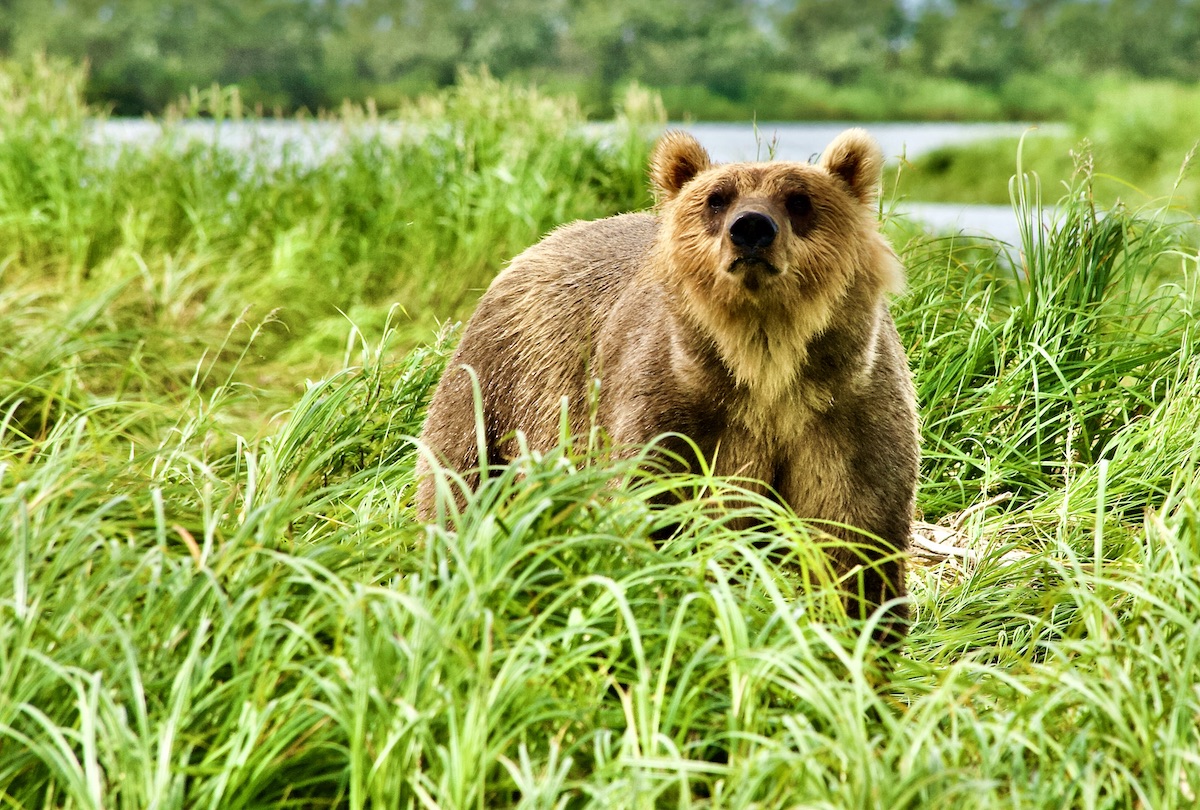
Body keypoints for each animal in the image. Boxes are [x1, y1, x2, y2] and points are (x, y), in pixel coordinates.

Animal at [420, 128, 916, 633]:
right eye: (717, 199)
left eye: (799, 200)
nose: (751, 229)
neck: (765, 366)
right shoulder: (678, 406)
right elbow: (656, 504)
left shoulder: (844, 412)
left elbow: (855, 536)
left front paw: (865, 626)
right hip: (500, 385)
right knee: (461, 485)